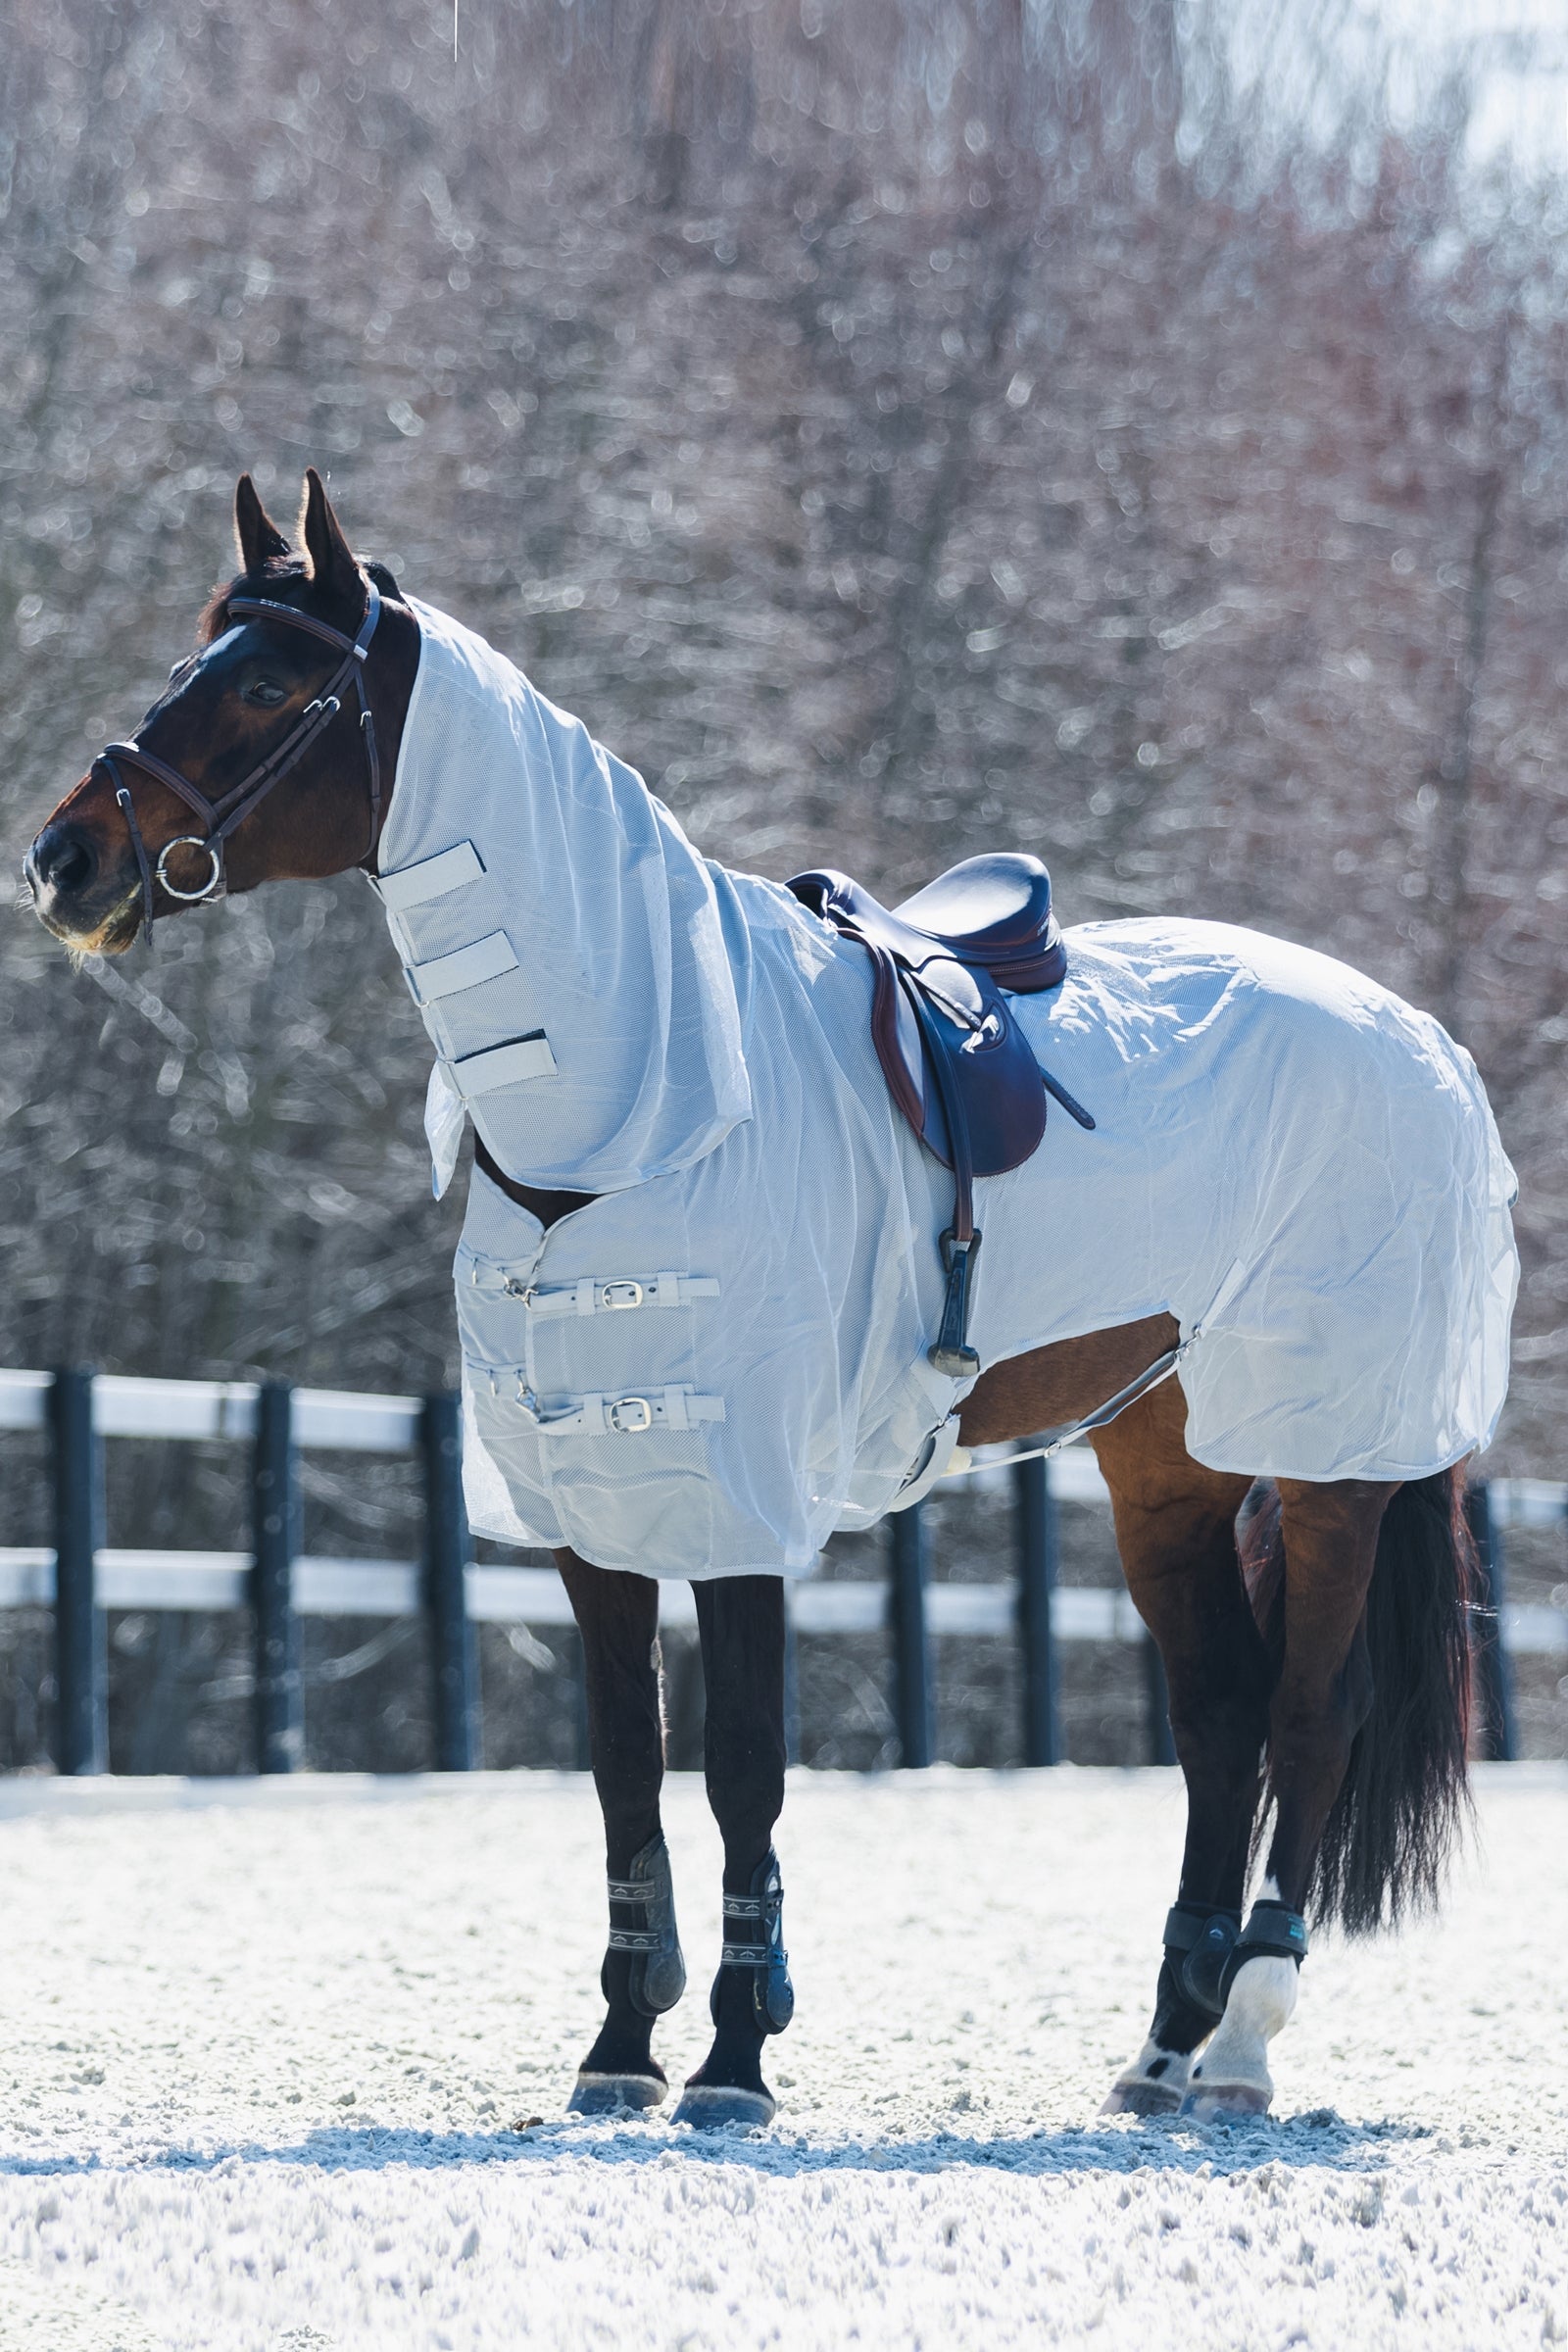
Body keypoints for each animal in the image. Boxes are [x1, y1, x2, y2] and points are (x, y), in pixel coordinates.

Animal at [25, 471, 1516, 2130]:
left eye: (269, 685)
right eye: (191, 660)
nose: (67, 860)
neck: (657, 1081)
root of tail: (1415, 1036)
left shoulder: (736, 1491)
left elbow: (742, 1759)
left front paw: (736, 2053)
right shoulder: (589, 1501)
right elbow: (626, 1760)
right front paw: (622, 2045)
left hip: (1331, 1458)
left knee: (1312, 1715)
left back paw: (1244, 2038)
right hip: (1165, 1461)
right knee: (1219, 1716)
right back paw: (1162, 2047)